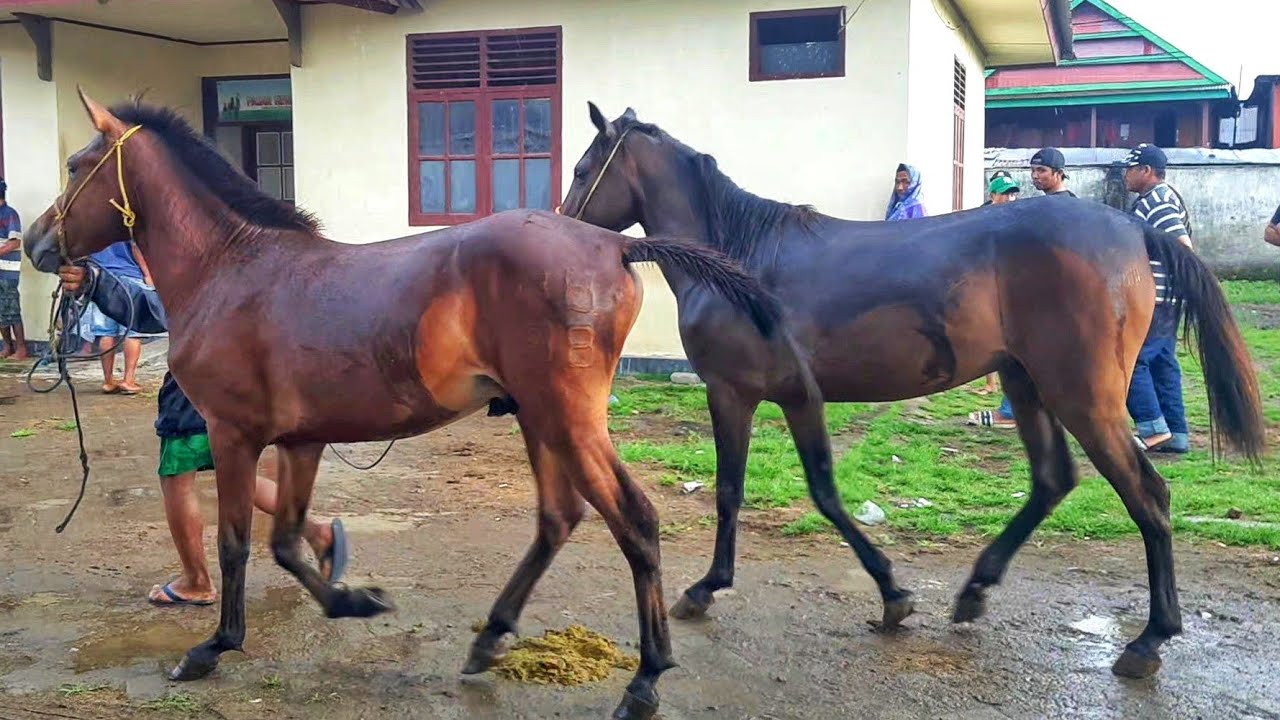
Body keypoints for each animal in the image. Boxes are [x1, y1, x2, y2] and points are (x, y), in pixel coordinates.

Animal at [23, 90, 787, 720]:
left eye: (75, 165)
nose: (34, 244)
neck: (232, 270)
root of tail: (613, 246)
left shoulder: (233, 434)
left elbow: (237, 542)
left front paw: (213, 647)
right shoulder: (301, 441)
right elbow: (286, 541)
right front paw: (355, 599)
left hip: (569, 419)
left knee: (635, 520)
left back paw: (645, 679)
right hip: (541, 420)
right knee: (558, 518)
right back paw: (491, 639)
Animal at [560, 102, 1265, 680]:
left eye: (583, 166)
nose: (562, 226)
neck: (740, 259)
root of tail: (1133, 231)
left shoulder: (740, 393)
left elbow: (753, 492)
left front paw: (711, 587)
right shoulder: (789, 398)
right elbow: (810, 492)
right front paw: (892, 594)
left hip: (1083, 397)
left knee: (1148, 495)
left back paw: (1149, 640)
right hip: (1026, 382)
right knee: (1052, 480)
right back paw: (976, 590)